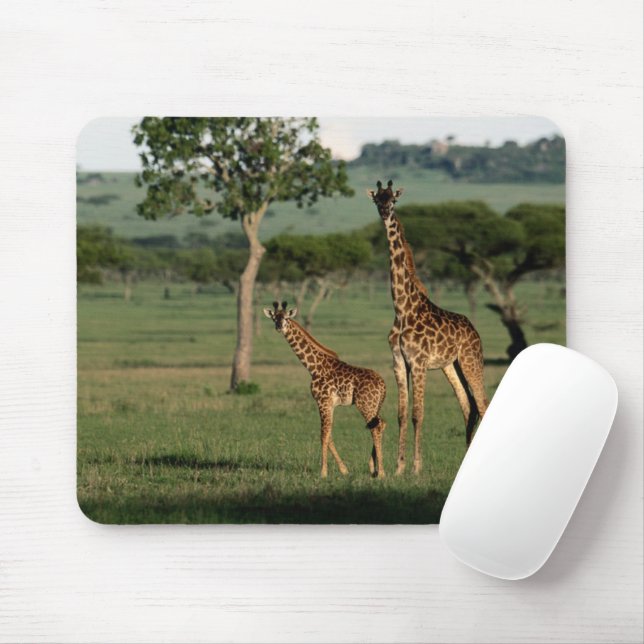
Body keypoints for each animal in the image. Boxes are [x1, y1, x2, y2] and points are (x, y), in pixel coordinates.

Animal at [263, 301, 387, 478]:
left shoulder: (322, 401)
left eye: (286, 318)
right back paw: (373, 468)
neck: (313, 367)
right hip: (375, 405)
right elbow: (329, 435)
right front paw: (344, 470)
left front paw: (323, 472)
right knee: (381, 424)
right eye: (274, 318)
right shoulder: (330, 404)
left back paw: (381, 472)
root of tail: (383, 385)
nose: (279, 327)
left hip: (365, 405)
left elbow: (323, 434)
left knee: (375, 428)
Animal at [367, 180, 489, 475]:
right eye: (377, 199)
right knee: (468, 406)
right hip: (451, 366)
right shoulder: (399, 363)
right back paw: (464, 461)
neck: (402, 309)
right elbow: (401, 414)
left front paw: (415, 468)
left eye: (393, 200)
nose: (385, 212)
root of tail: (474, 331)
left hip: (471, 360)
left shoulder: (419, 362)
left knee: (482, 403)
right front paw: (398, 468)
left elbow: (417, 414)